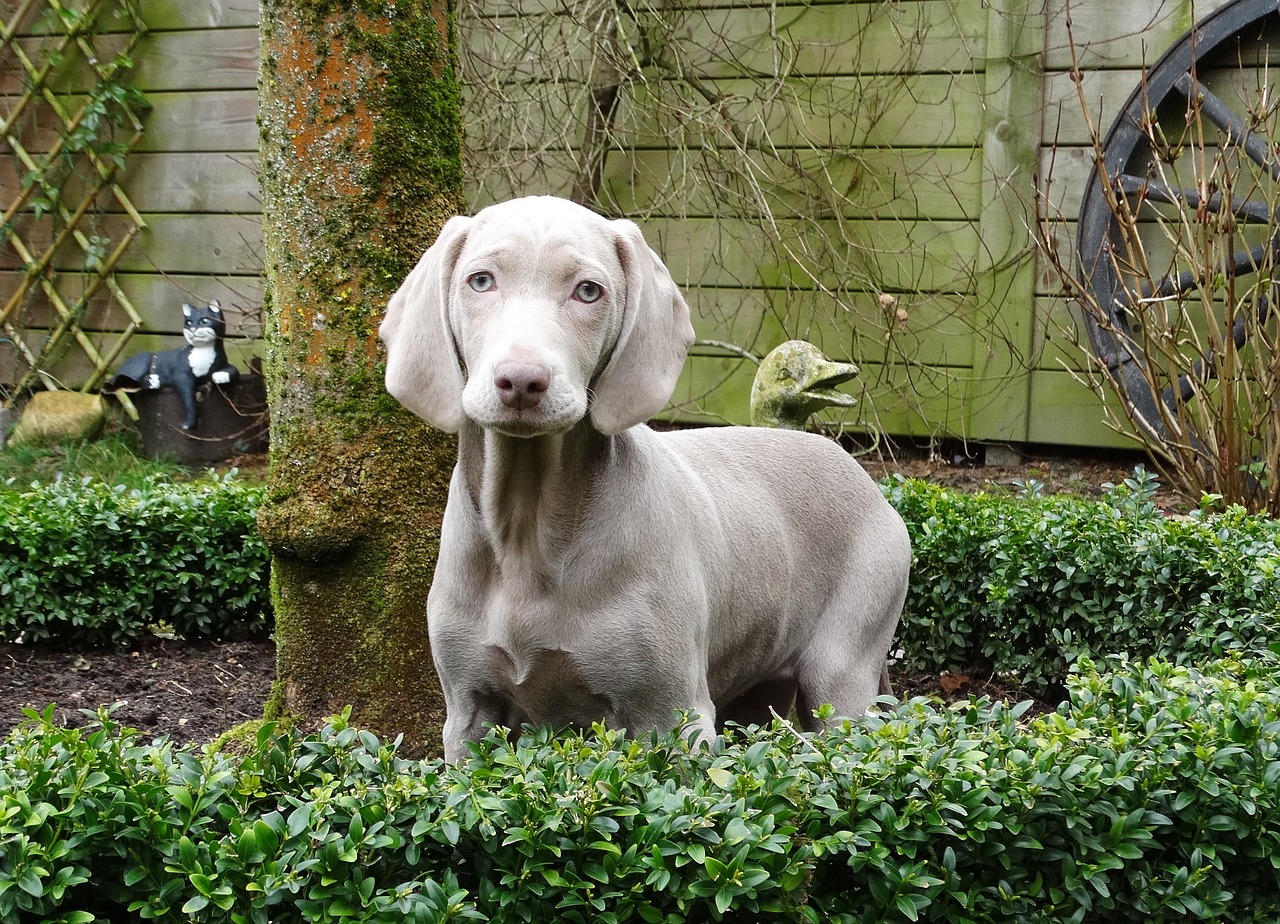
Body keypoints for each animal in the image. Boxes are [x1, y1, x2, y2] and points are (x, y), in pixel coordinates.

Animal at [378, 195, 911, 762]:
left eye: (588, 291)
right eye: (480, 281)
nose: (521, 381)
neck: (529, 527)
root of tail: (856, 469)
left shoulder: (671, 715)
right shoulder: (469, 715)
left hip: (843, 672)